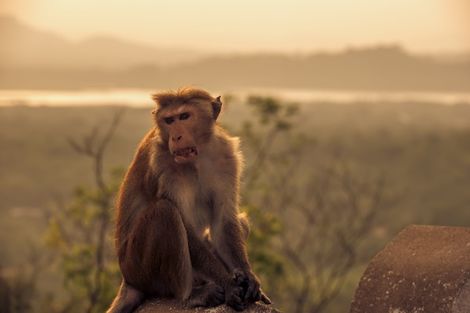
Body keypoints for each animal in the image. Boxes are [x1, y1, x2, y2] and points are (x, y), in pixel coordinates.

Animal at [105, 86, 268, 312]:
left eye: (184, 116)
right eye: (169, 120)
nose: (176, 137)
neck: (197, 156)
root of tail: (127, 280)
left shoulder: (227, 156)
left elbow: (224, 220)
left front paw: (248, 277)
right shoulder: (162, 163)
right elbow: (186, 226)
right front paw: (228, 284)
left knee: (239, 220)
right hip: (139, 270)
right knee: (165, 212)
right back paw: (191, 296)